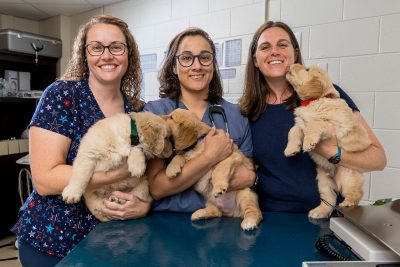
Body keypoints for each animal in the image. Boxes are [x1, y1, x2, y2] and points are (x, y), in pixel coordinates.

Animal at [284, 63, 372, 219]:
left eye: (306, 70)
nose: (292, 64)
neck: (314, 101)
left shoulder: (332, 126)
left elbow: (315, 124)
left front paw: (308, 143)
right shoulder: (300, 124)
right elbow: (292, 131)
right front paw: (291, 149)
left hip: (348, 176)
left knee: (356, 193)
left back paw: (348, 202)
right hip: (323, 182)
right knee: (328, 200)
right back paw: (319, 211)